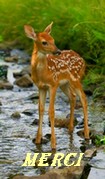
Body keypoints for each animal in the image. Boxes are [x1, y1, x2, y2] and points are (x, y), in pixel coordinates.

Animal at [24, 21, 89, 150]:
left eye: (53, 40)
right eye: (44, 42)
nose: (58, 51)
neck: (43, 73)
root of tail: (82, 59)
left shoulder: (53, 84)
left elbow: (51, 111)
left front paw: (53, 145)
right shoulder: (41, 87)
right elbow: (40, 109)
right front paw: (38, 140)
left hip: (75, 78)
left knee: (83, 99)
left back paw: (87, 134)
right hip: (64, 84)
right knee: (72, 97)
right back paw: (70, 128)